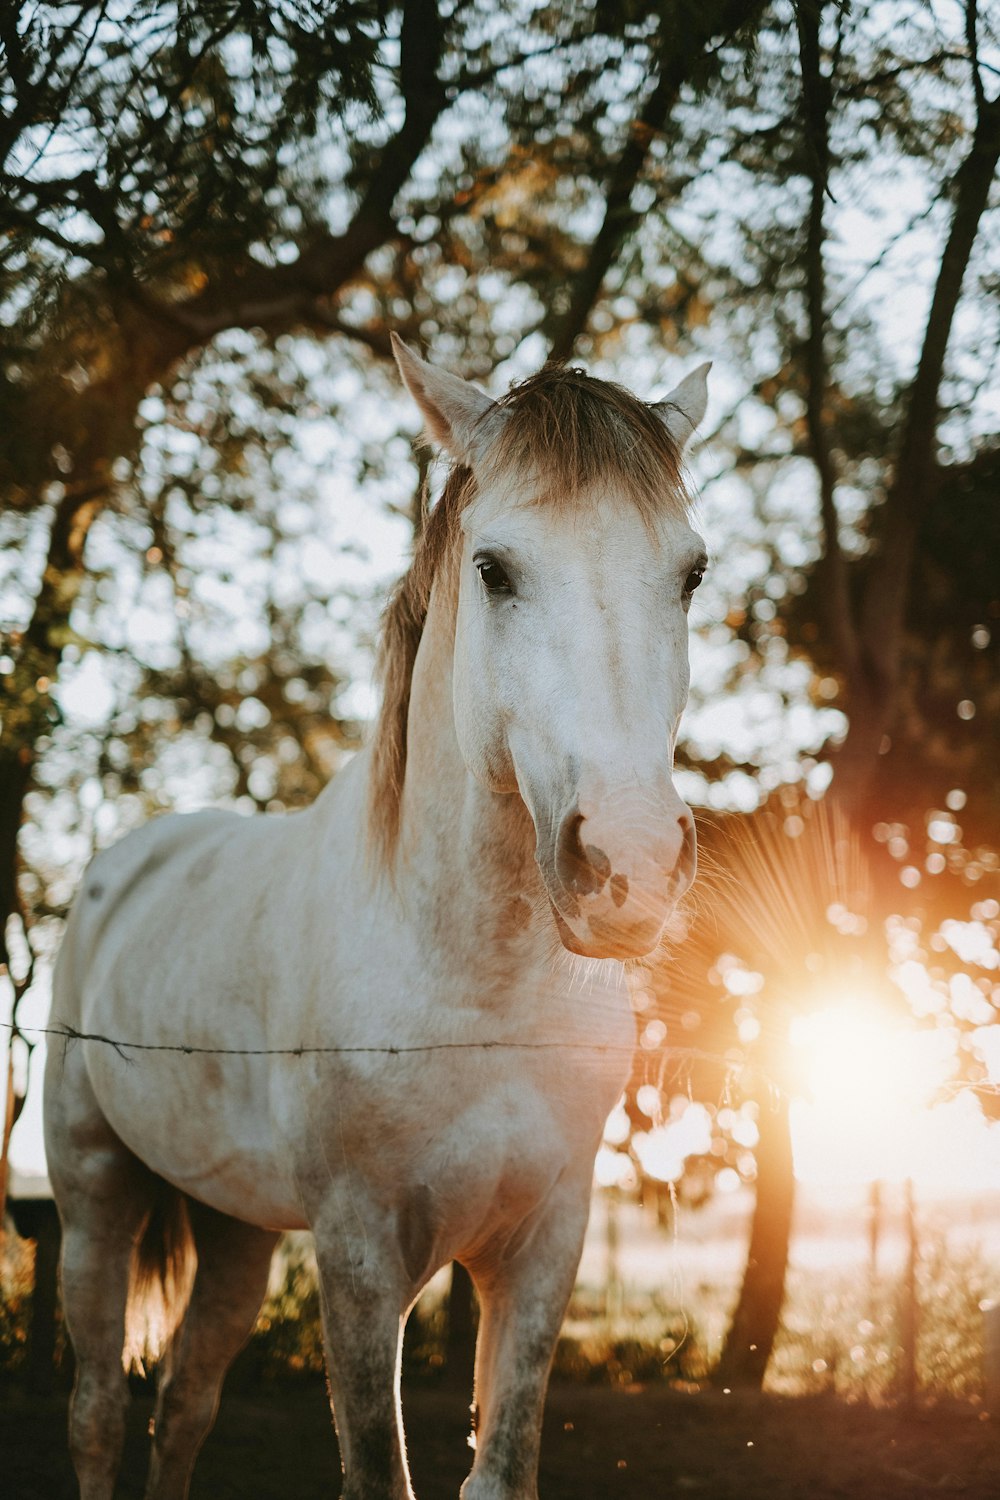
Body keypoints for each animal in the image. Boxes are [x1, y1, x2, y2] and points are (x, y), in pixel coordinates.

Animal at [44, 340, 704, 1500]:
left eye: (691, 574)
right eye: (494, 570)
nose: (629, 864)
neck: (474, 988)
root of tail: (119, 868)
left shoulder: (546, 1243)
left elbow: (502, 1465)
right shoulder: (359, 1256)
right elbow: (375, 1469)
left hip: (234, 1231)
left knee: (183, 1406)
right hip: (94, 1200)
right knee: (97, 1412)